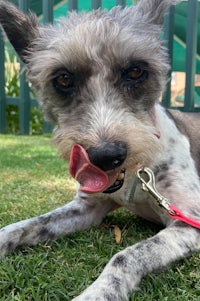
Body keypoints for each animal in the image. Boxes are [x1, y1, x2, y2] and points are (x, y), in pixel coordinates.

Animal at [0, 0, 200, 298]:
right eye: (63, 78)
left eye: (136, 71)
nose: (106, 156)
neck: (134, 174)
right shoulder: (86, 207)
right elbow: (25, 225)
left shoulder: (189, 221)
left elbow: (126, 255)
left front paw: (98, 293)